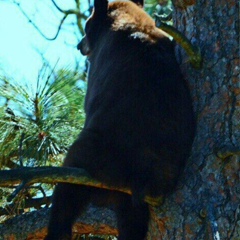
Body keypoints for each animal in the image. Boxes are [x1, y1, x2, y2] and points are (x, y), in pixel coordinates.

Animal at [45, 0, 195, 240]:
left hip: (96, 157)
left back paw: (57, 229)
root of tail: (141, 174)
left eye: (86, 26)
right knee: (132, 221)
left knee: (68, 193)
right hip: (141, 191)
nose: (79, 45)